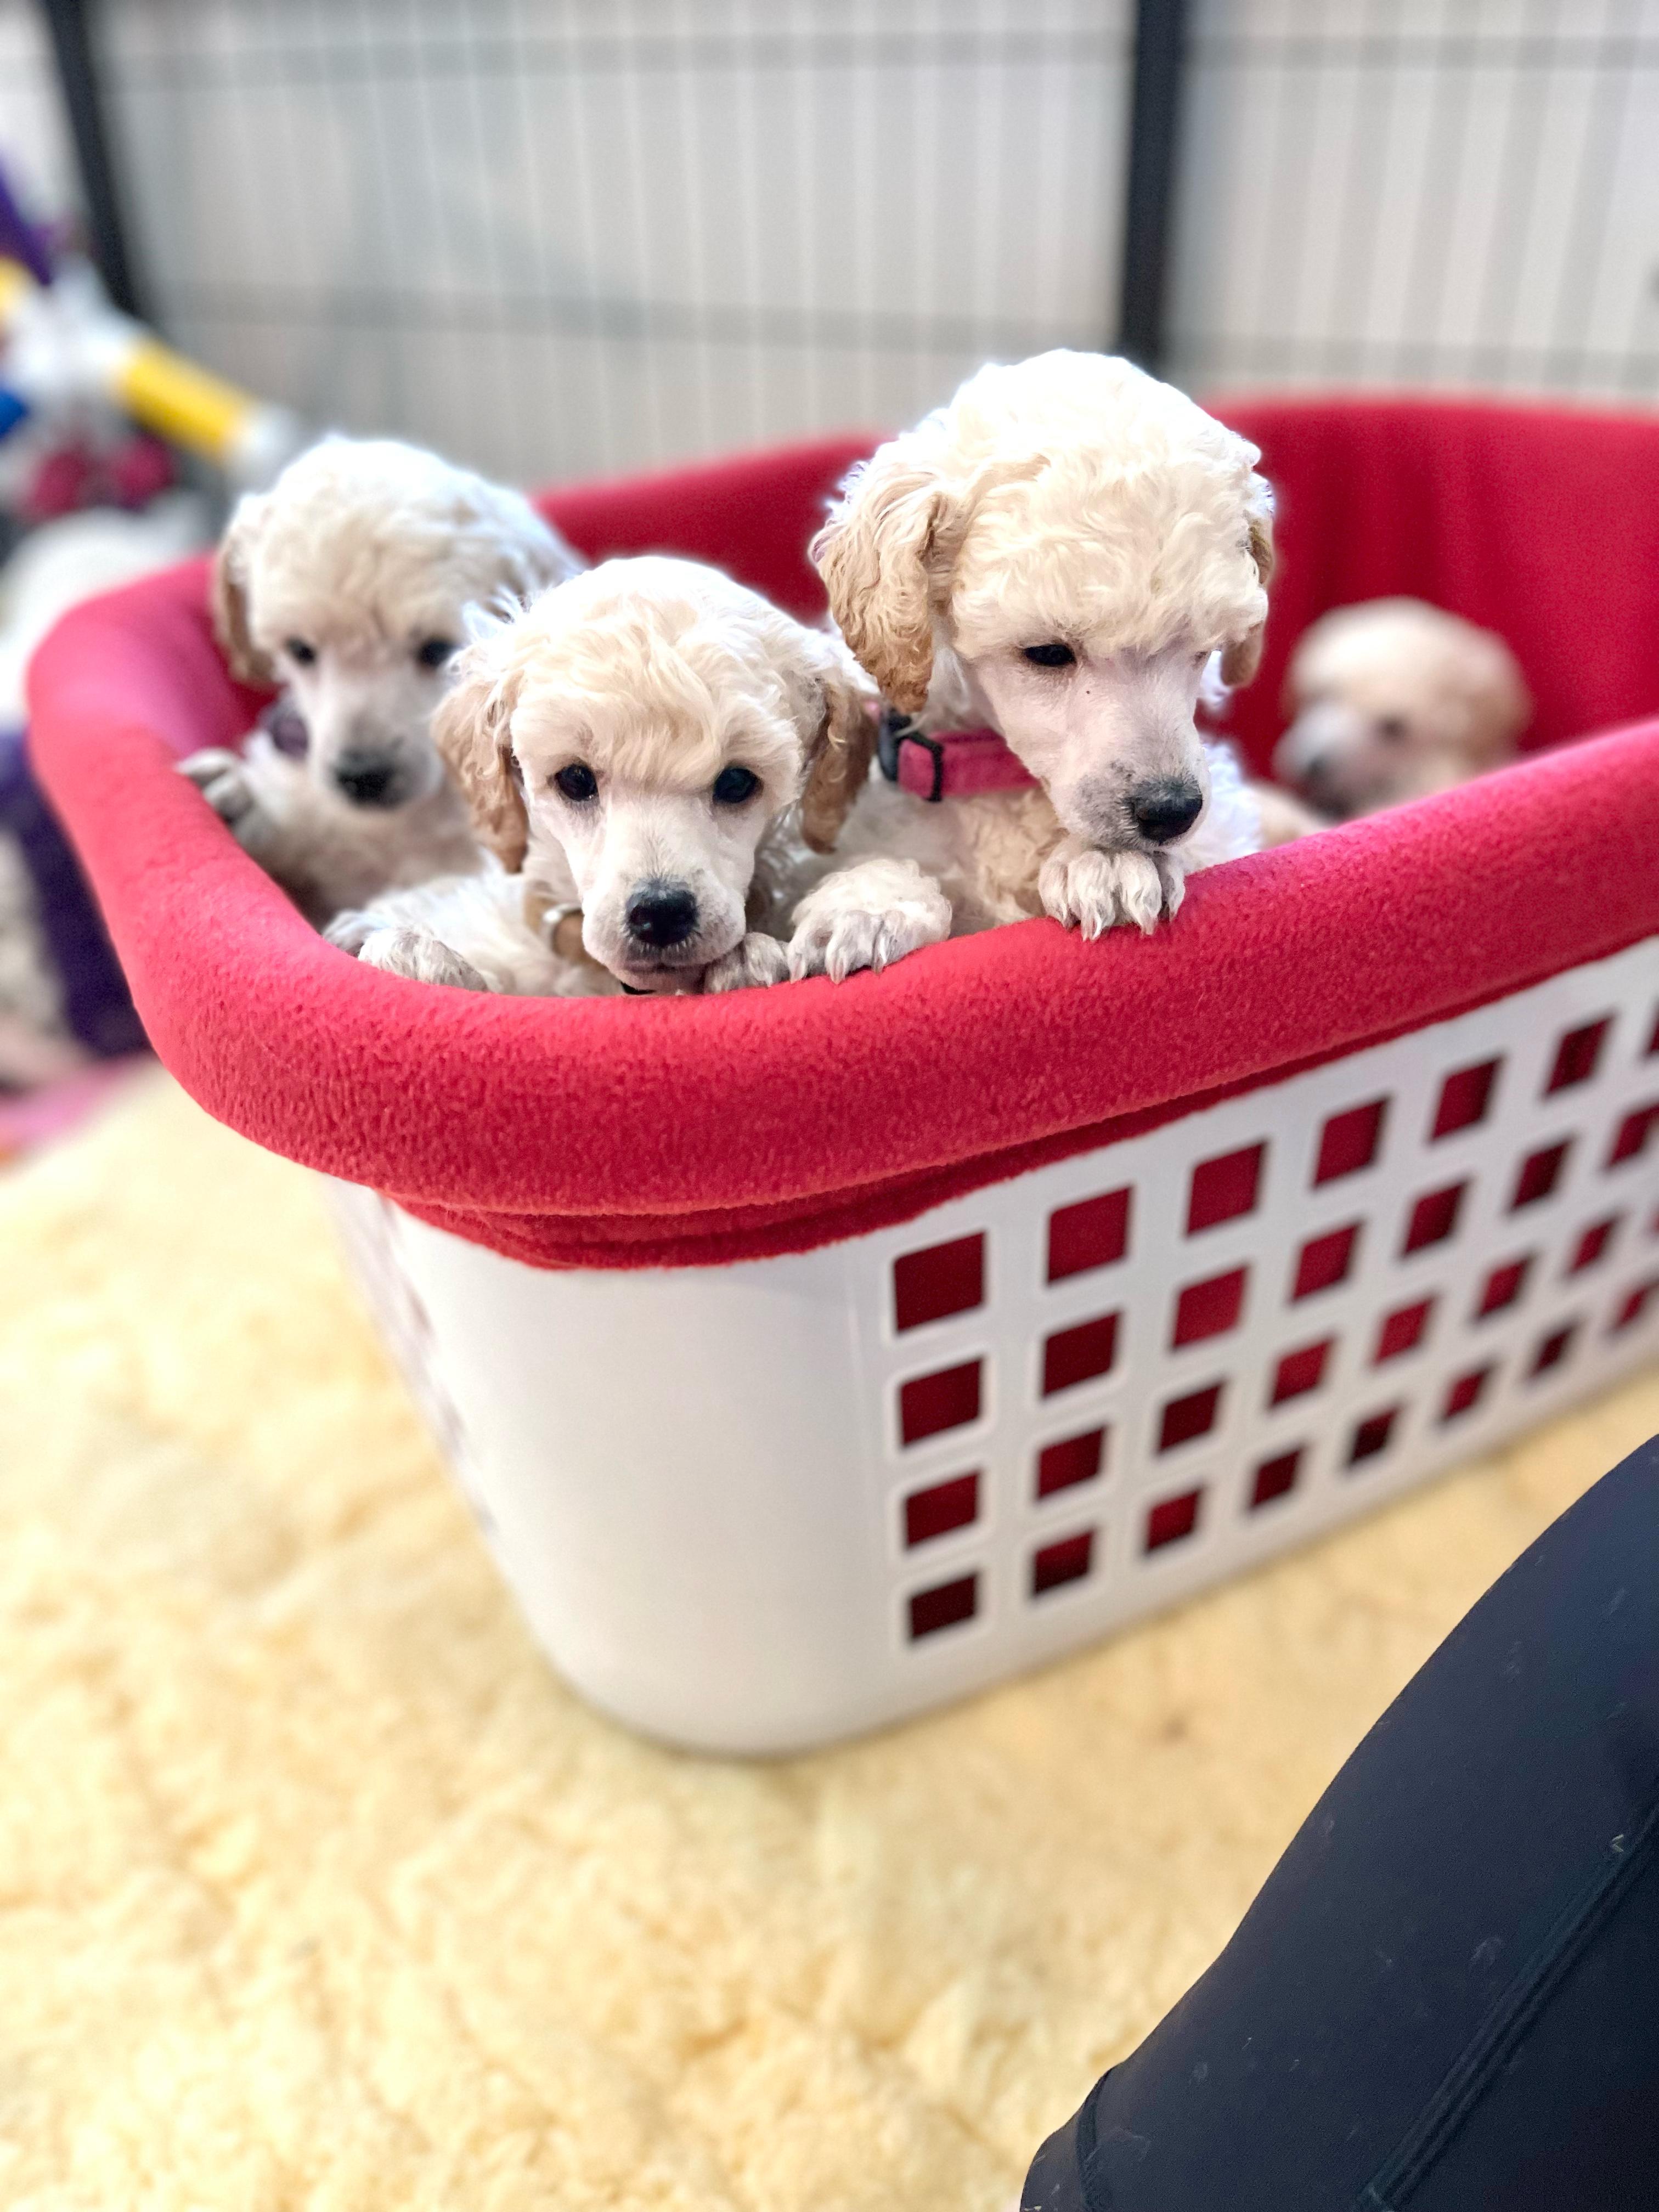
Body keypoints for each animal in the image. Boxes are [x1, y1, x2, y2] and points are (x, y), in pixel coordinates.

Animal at [789, 350, 1275, 978]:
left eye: (1201, 648)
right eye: (1046, 654)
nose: (1171, 811)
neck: (998, 775)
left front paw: (1108, 861)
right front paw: (864, 907)